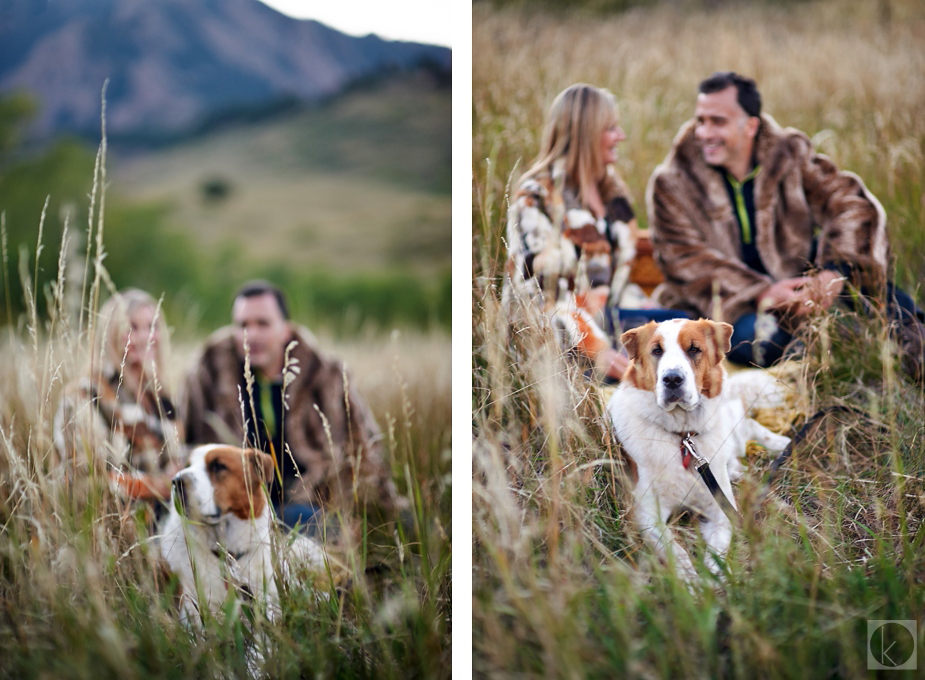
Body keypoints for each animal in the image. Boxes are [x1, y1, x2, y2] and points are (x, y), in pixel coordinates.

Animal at [608, 318, 788, 580]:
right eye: (656, 351)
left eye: (694, 349)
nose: (672, 379)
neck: (683, 437)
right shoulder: (648, 517)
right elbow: (676, 551)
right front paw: (691, 582)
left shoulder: (721, 512)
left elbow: (717, 556)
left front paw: (715, 581)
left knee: (750, 427)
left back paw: (782, 444)